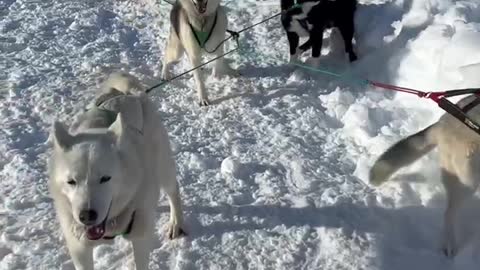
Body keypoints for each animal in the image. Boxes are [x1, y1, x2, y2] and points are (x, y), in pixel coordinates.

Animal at [48, 73, 187, 268]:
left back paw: (176, 223)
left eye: (105, 178)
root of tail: (127, 94)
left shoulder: (140, 236)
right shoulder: (79, 248)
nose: (87, 216)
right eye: (71, 182)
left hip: (163, 167)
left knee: (173, 190)